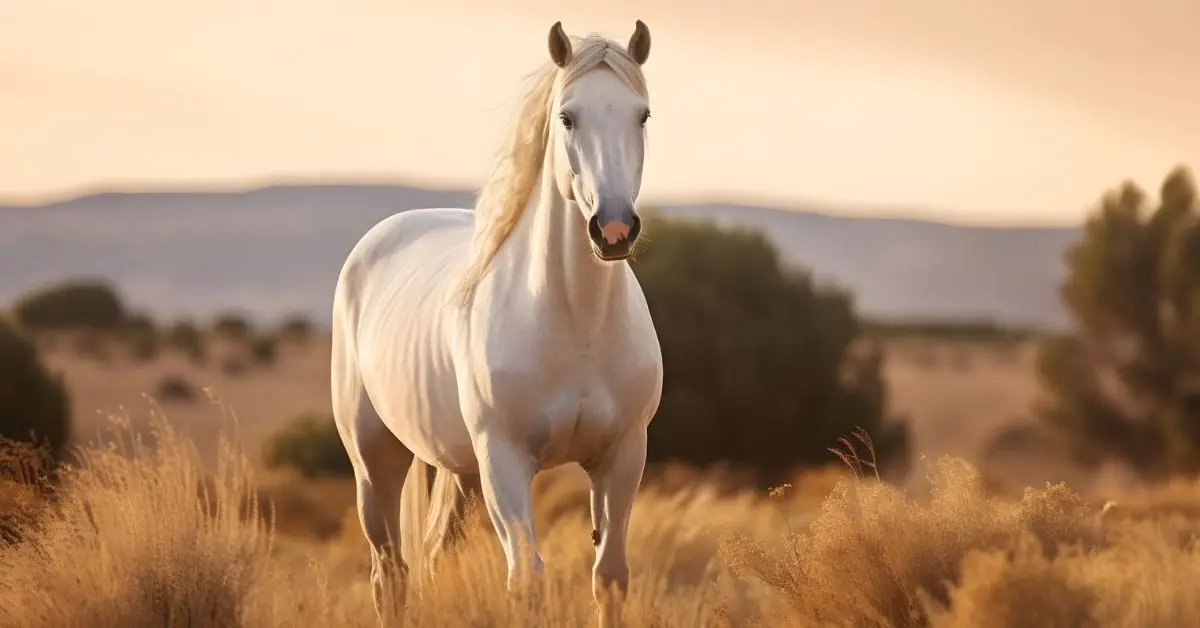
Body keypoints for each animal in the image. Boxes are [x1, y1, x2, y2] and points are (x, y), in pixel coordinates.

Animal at [330, 20, 663, 625]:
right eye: (567, 117)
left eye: (642, 114)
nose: (614, 229)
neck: (576, 325)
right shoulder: (504, 461)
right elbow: (526, 580)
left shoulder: (623, 456)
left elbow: (609, 577)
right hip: (375, 462)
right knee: (390, 575)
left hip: (459, 473)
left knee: (429, 561)